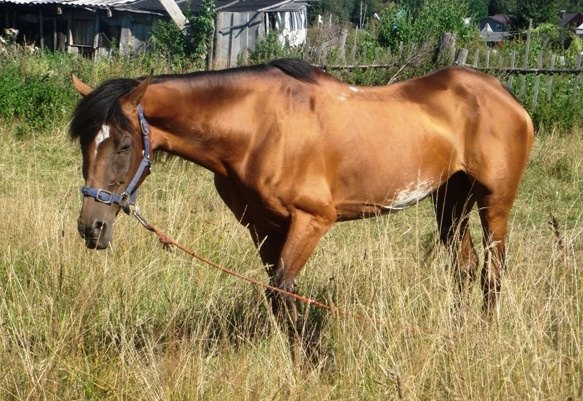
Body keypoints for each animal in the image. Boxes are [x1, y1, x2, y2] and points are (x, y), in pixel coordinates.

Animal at [70, 58, 536, 340]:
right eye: (85, 146)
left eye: (124, 145)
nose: (92, 227)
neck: (259, 128)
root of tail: (503, 93)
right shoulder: (261, 226)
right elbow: (279, 297)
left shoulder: (312, 220)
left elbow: (284, 291)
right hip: (449, 202)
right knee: (465, 269)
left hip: (494, 202)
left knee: (492, 273)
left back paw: (482, 335)